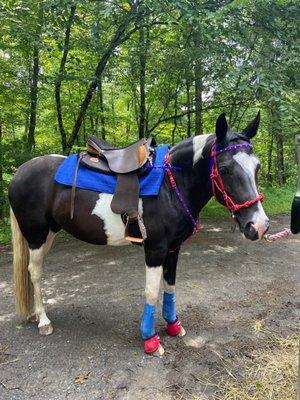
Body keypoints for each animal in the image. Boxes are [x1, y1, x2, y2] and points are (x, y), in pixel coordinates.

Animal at [8, 111, 270, 354]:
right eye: (224, 169)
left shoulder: (173, 248)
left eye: (257, 166)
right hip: (36, 234)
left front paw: (174, 326)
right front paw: (150, 339)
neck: (170, 184)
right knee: (35, 272)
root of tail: (20, 172)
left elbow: (170, 286)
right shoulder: (155, 249)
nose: (258, 226)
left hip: (50, 233)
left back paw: (34, 314)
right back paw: (43, 321)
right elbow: (152, 291)